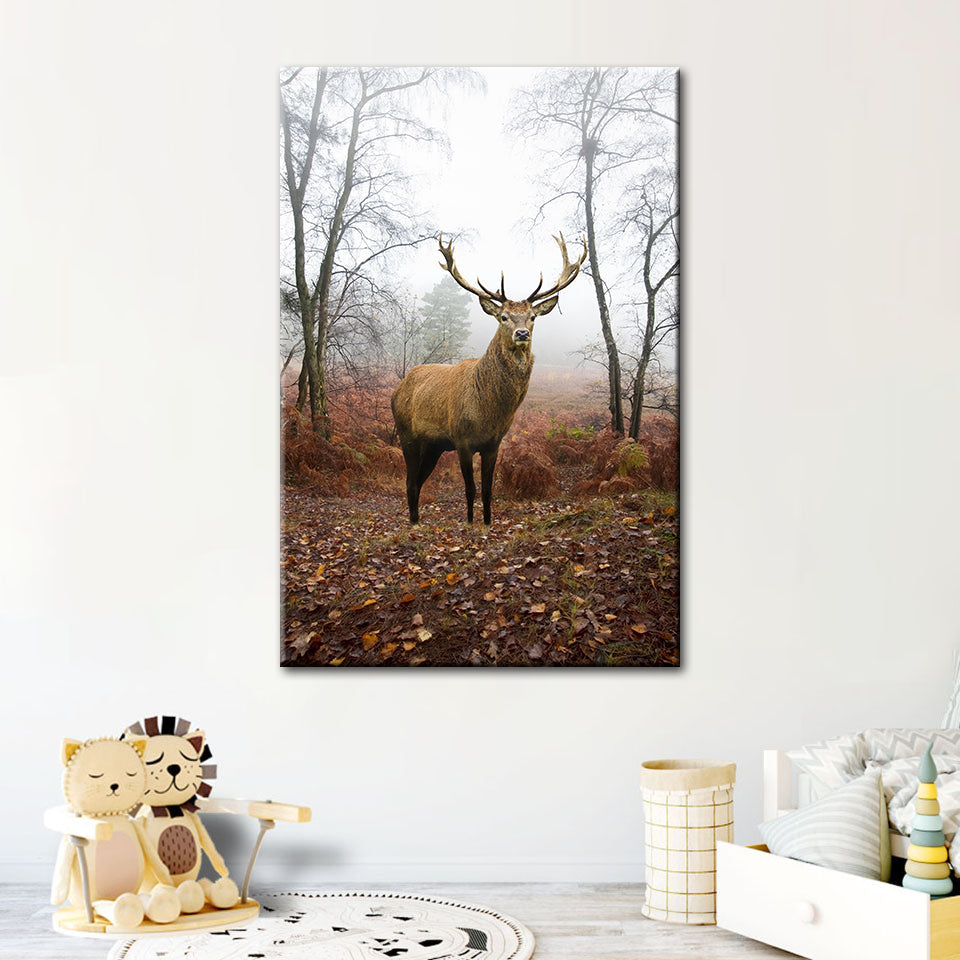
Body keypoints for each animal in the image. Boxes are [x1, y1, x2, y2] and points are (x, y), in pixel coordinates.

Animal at [391, 233, 588, 526]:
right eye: (503, 316)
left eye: (532, 317)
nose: (521, 333)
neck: (488, 410)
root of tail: (397, 389)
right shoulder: (461, 439)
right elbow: (470, 489)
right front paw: (470, 522)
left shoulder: (493, 443)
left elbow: (487, 489)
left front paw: (486, 522)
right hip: (407, 435)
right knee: (410, 481)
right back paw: (414, 523)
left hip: (433, 446)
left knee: (417, 480)